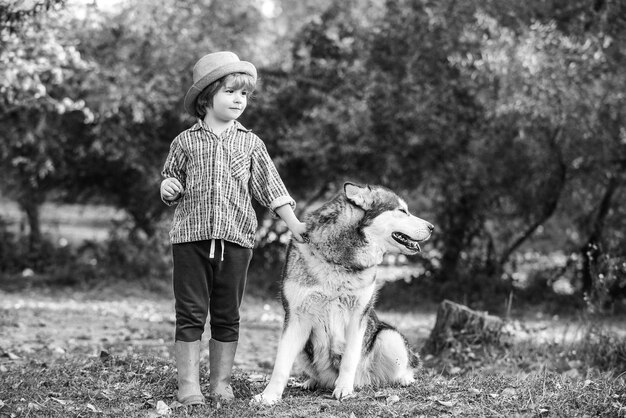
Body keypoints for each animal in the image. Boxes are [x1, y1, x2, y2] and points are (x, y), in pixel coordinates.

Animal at [251, 183, 432, 404]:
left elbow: (349, 358)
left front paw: (344, 388)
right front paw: (268, 396)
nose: (432, 227)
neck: (339, 261)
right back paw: (312, 381)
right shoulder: (295, 318)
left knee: (402, 367)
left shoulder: (358, 316)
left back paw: (403, 379)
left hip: (389, 337)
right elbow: (280, 366)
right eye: (402, 211)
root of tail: (363, 381)